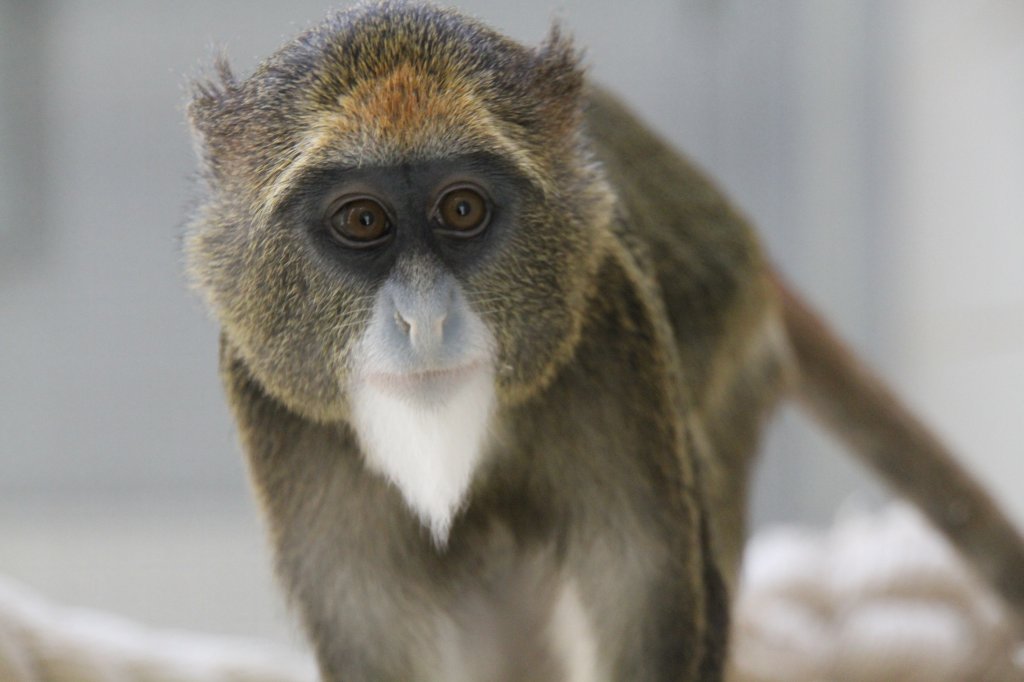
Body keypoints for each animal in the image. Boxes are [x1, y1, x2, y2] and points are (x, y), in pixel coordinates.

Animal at [184, 2, 1024, 675]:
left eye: (462, 209)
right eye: (362, 219)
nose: (424, 321)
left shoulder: (613, 331)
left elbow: (651, 605)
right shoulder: (276, 399)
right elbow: (373, 641)